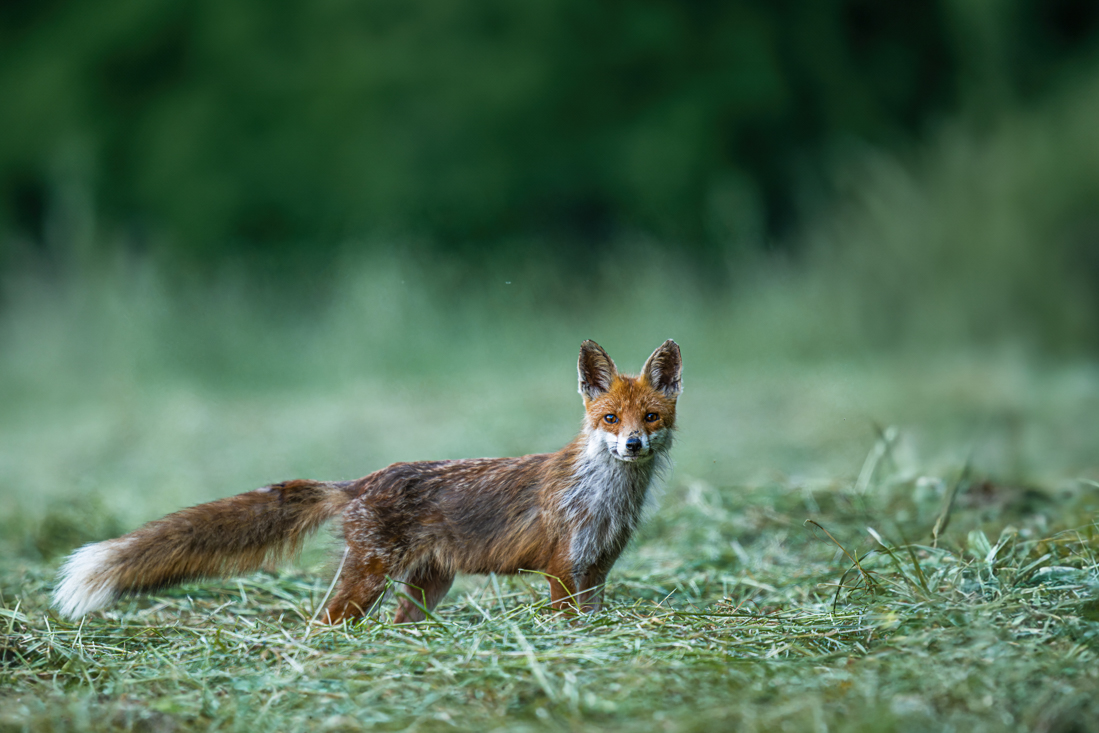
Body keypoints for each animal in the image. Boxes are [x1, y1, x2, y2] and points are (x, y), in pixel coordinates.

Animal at [53, 340, 685, 624]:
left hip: (427, 585)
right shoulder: (561, 567)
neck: (605, 498)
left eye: (651, 418)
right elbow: (563, 621)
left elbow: (591, 617)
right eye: (610, 419)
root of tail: (358, 482)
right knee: (322, 624)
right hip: (369, 579)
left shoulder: (597, 569)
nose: (633, 445)